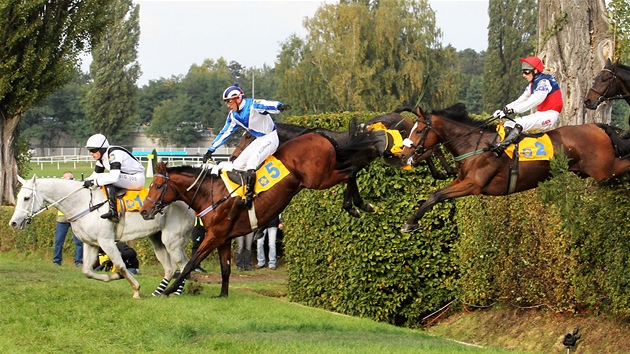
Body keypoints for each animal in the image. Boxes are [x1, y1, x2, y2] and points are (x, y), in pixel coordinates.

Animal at [8, 176, 195, 298]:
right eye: (18, 197)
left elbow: (120, 266)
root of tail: (188, 203)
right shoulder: (90, 243)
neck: (83, 203)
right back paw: (158, 292)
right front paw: (113, 277)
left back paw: (176, 292)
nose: (13, 223)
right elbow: (87, 271)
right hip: (157, 239)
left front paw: (135, 289)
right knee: (171, 268)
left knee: (185, 265)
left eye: (26, 198)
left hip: (171, 241)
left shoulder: (106, 241)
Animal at [141, 129, 388, 298]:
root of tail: (319, 136)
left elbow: (190, 263)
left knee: (351, 171)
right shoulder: (223, 238)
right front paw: (222, 295)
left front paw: (169, 290)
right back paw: (358, 204)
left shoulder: (214, 236)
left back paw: (356, 205)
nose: (144, 211)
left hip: (318, 178)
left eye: (157, 186)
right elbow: (225, 268)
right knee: (351, 170)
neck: (211, 194)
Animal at [231, 113, 454, 218]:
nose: (233, 156)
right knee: (424, 154)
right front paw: (357, 206)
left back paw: (446, 170)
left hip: (404, 147)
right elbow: (350, 185)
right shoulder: (342, 169)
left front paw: (359, 206)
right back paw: (441, 172)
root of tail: (404, 118)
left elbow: (350, 181)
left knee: (431, 151)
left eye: (248, 136)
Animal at [402, 102, 630, 234]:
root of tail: (597, 126)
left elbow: (437, 195)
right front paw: (411, 221)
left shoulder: (473, 185)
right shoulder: (462, 179)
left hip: (603, 168)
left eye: (419, 130)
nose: (403, 154)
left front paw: (410, 222)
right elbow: (435, 194)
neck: (474, 144)